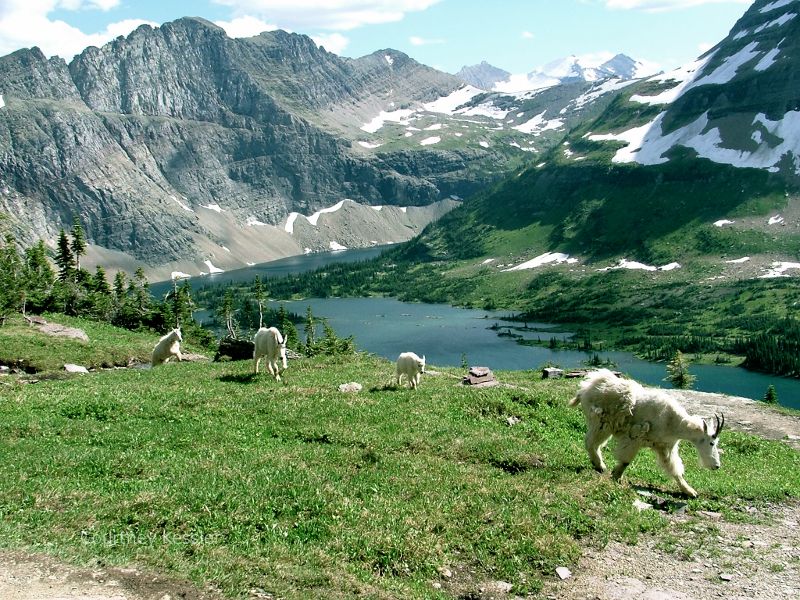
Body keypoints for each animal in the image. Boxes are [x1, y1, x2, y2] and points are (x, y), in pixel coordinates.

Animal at [568, 370, 724, 496]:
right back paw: (601, 466)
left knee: (595, 444)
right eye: (712, 442)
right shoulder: (634, 438)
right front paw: (616, 477)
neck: (673, 422)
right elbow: (626, 460)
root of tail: (584, 388)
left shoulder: (666, 447)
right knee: (590, 442)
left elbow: (674, 469)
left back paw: (599, 465)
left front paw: (690, 491)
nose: (716, 466)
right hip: (600, 423)